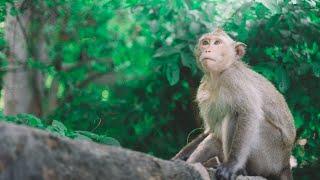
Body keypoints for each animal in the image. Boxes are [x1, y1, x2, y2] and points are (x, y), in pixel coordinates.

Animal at [175, 28, 296, 180]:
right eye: (205, 42)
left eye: (217, 43)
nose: (207, 49)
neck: (217, 77)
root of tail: (285, 164)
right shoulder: (203, 91)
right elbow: (210, 130)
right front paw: (178, 158)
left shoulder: (233, 78)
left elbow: (249, 113)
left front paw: (231, 165)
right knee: (214, 138)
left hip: (270, 155)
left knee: (234, 116)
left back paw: (239, 170)